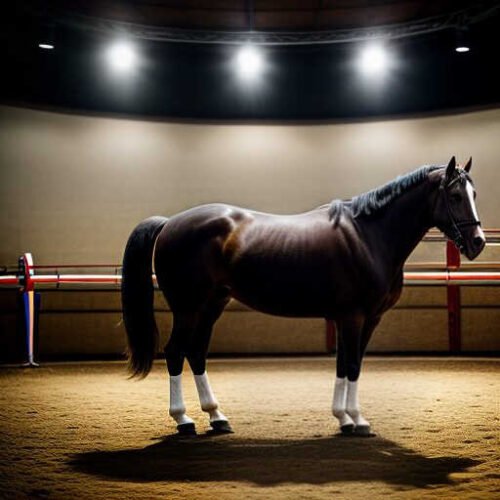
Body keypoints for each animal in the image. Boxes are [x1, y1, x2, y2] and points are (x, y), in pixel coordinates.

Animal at [120, 158, 484, 436]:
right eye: (454, 195)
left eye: (474, 193)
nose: (478, 242)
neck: (368, 236)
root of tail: (169, 224)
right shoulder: (353, 316)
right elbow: (352, 363)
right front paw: (357, 421)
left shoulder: (363, 318)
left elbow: (347, 364)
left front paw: (345, 419)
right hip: (188, 308)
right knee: (175, 352)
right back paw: (183, 420)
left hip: (212, 305)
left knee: (196, 353)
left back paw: (217, 417)